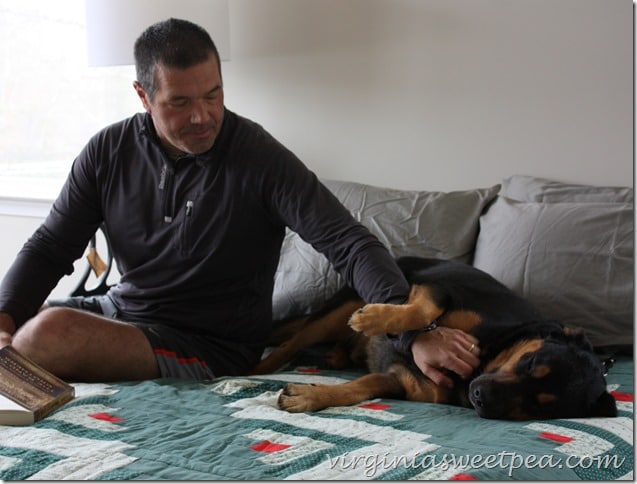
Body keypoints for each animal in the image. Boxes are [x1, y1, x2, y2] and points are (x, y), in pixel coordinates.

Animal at [252, 258, 616, 420]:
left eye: (540, 407)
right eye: (530, 362)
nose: (480, 396)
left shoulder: (401, 382)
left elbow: (360, 389)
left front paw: (313, 395)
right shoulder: (441, 288)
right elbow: (423, 311)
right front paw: (374, 319)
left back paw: (336, 356)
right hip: (335, 312)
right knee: (289, 342)